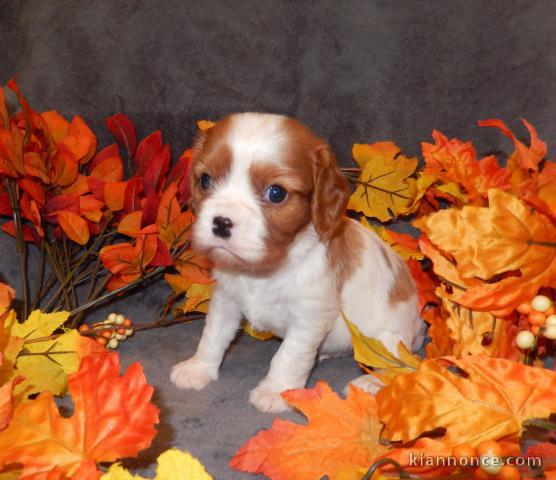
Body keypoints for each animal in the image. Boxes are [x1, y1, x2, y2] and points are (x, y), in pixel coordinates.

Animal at [169, 112, 422, 412]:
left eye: (276, 193)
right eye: (206, 180)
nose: (220, 222)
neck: (265, 269)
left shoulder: (308, 317)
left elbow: (288, 354)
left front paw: (276, 392)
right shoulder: (225, 299)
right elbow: (212, 336)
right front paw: (198, 369)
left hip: (389, 337)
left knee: (400, 364)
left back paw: (372, 382)